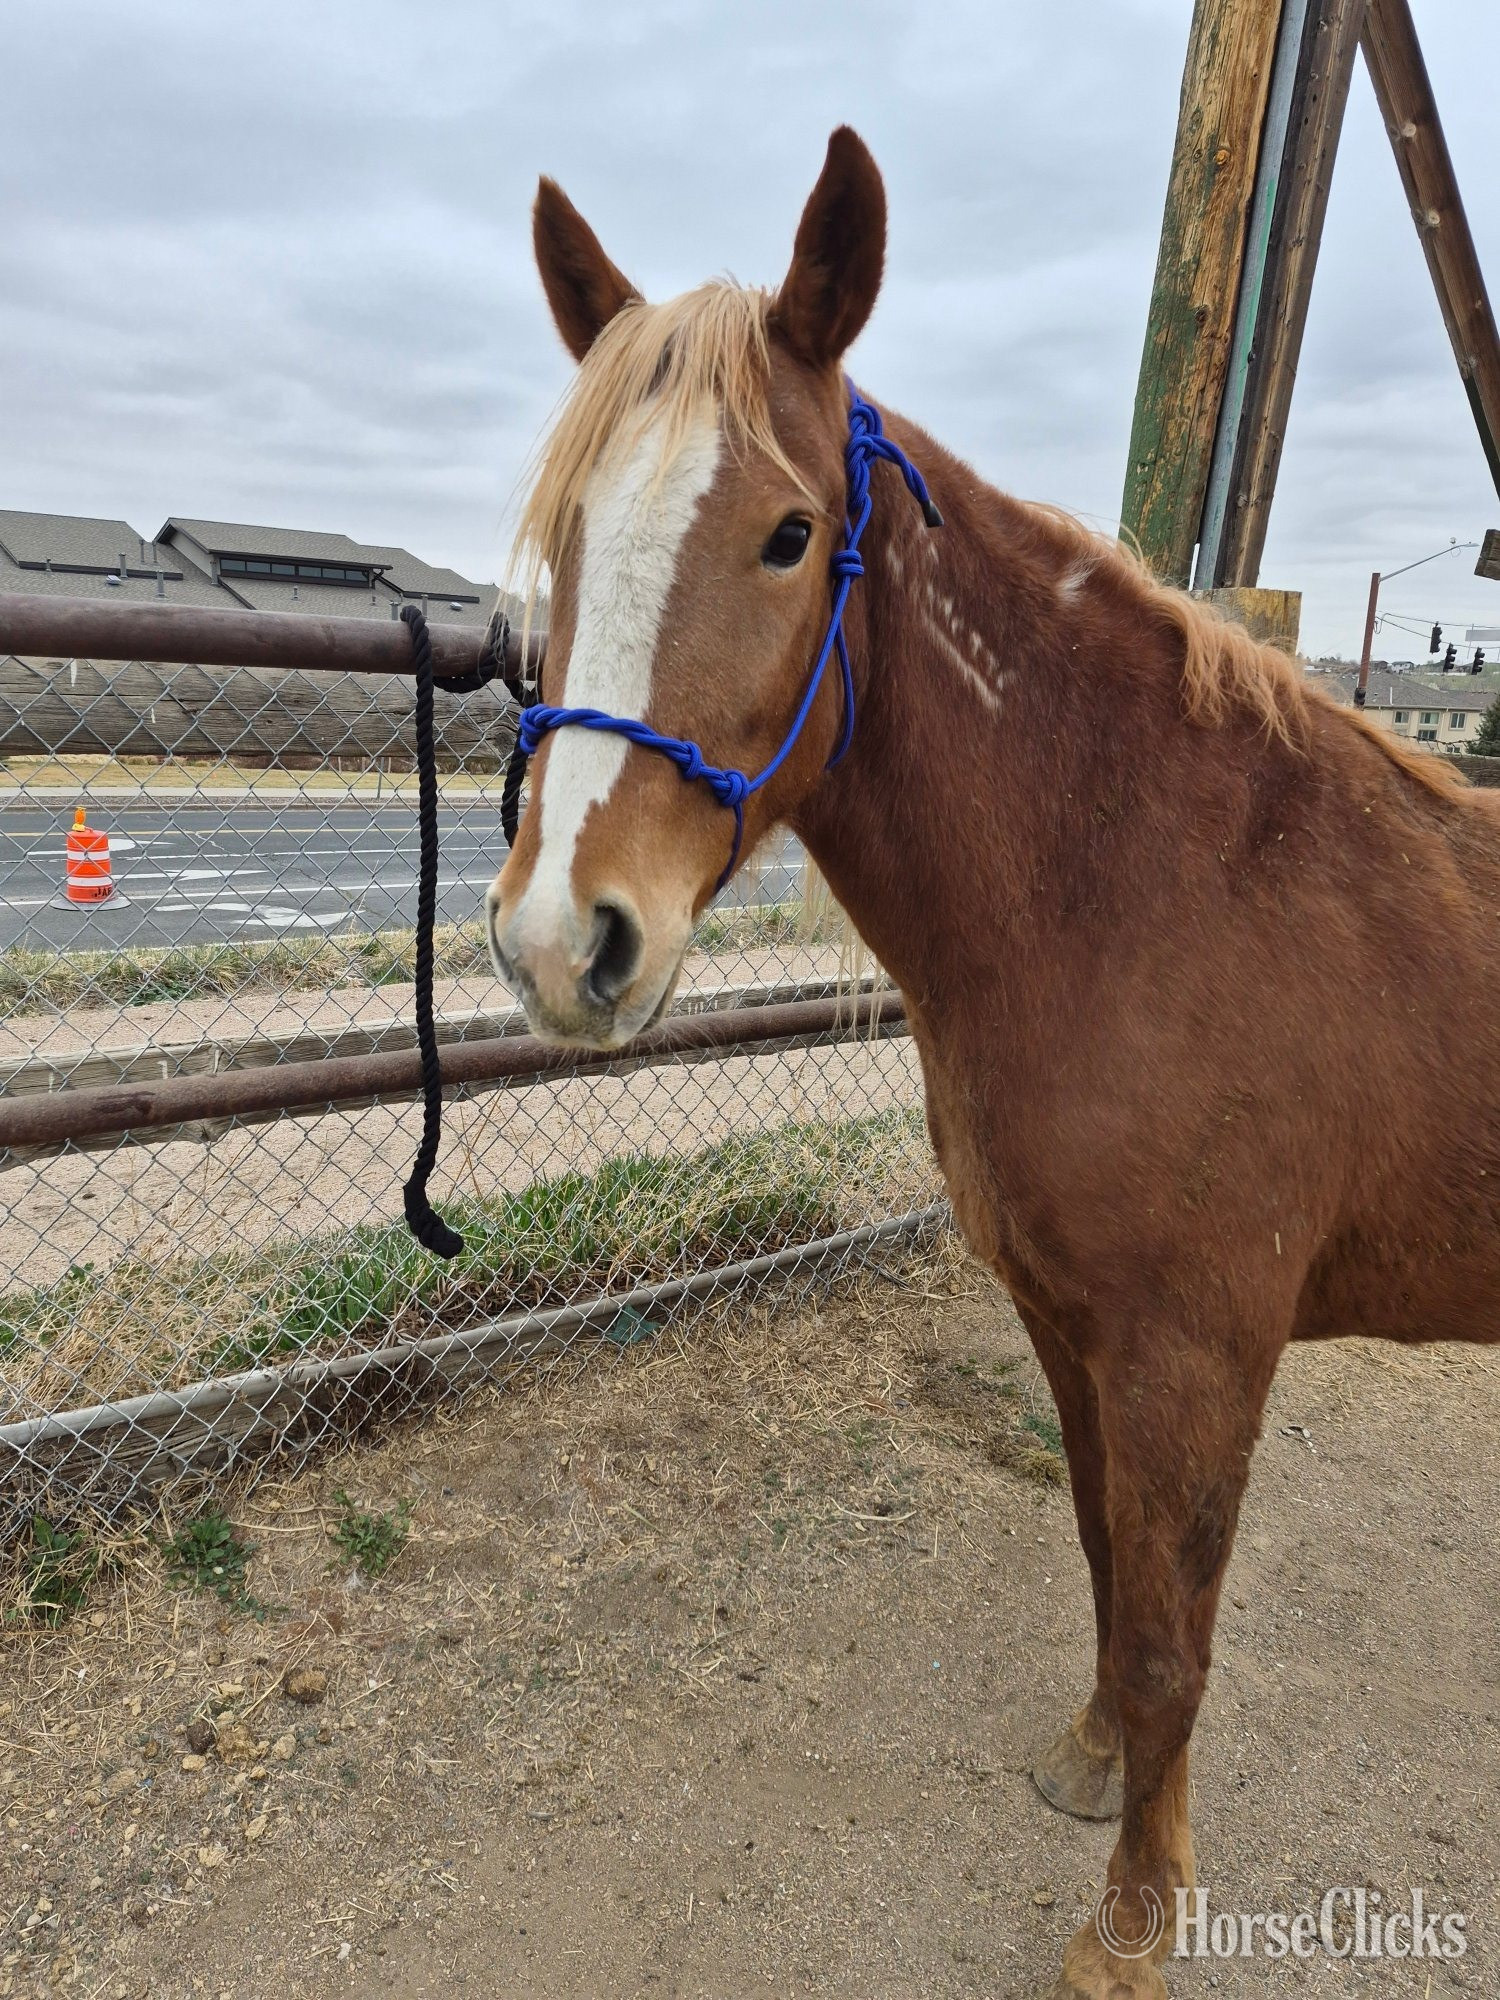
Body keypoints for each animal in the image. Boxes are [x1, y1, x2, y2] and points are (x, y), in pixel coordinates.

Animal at [488, 127, 1500, 1999]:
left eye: (791, 536)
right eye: (572, 533)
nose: (556, 940)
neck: (1153, 888)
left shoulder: (1197, 1353)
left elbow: (1177, 1636)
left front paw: (1134, 1927)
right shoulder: (1069, 1321)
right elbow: (1108, 1559)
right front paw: (1094, 1763)